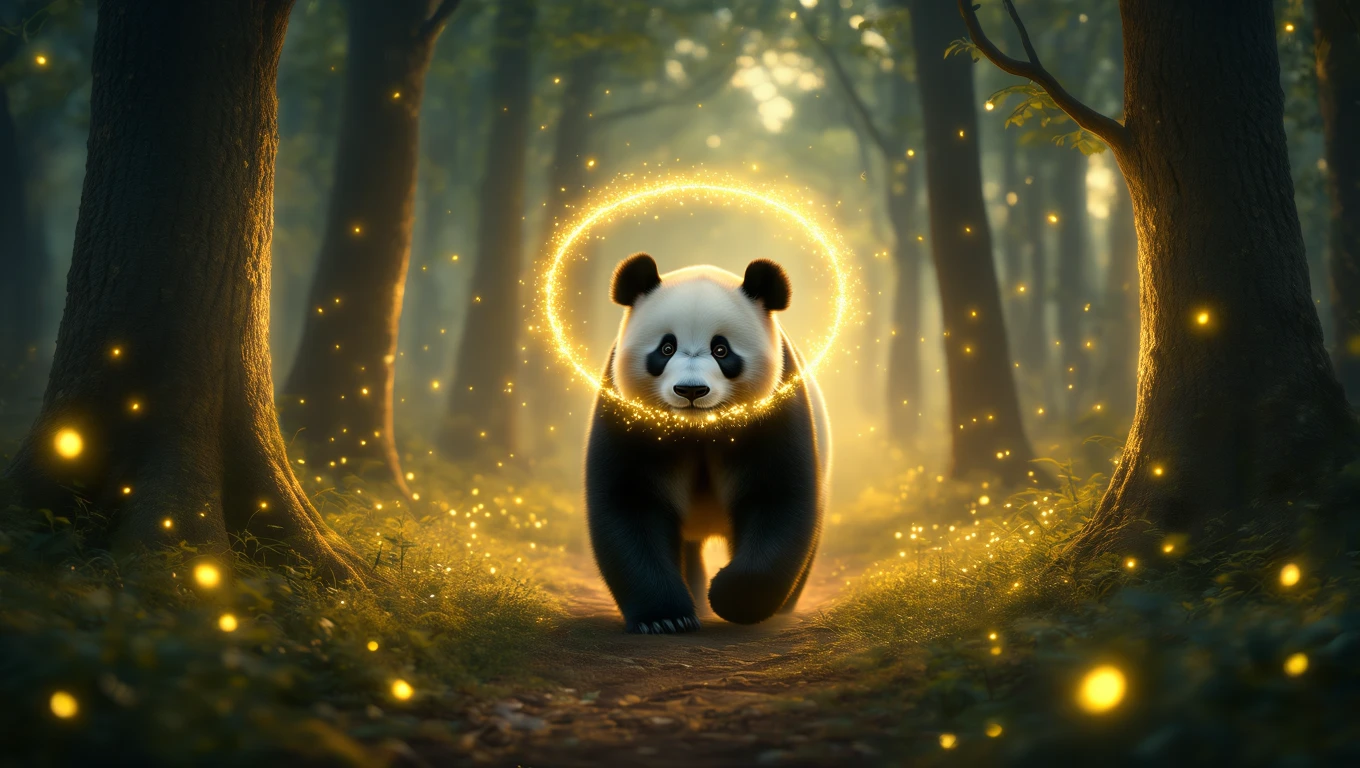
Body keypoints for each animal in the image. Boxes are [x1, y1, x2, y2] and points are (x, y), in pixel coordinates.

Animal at [585, 252, 830, 634]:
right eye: (666, 348)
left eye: (721, 349)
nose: (691, 390)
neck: (697, 430)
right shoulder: (627, 417)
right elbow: (630, 502)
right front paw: (666, 618)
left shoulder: (773, 413)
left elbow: (776, 498)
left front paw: (734, 599)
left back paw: (780, 608)